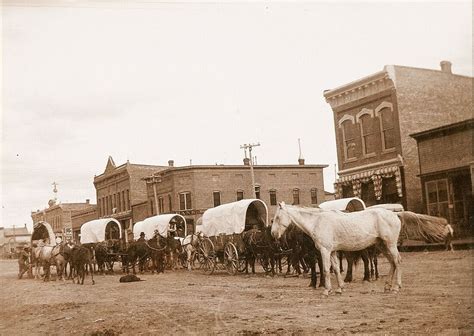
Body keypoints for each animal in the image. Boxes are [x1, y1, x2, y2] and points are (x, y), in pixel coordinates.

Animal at [272, 201, 402, 296]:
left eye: (277, 217)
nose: (273, 234)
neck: (317, 222)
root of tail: (395, 215)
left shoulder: (325, 251)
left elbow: (325, 270)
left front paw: (326, 290)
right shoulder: (332, 252)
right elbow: (335, 269)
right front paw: (339, 288)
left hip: (390, 244)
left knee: (397, 261)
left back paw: (396, 287)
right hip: (382, 245)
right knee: (392, 263)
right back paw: (387, 287)